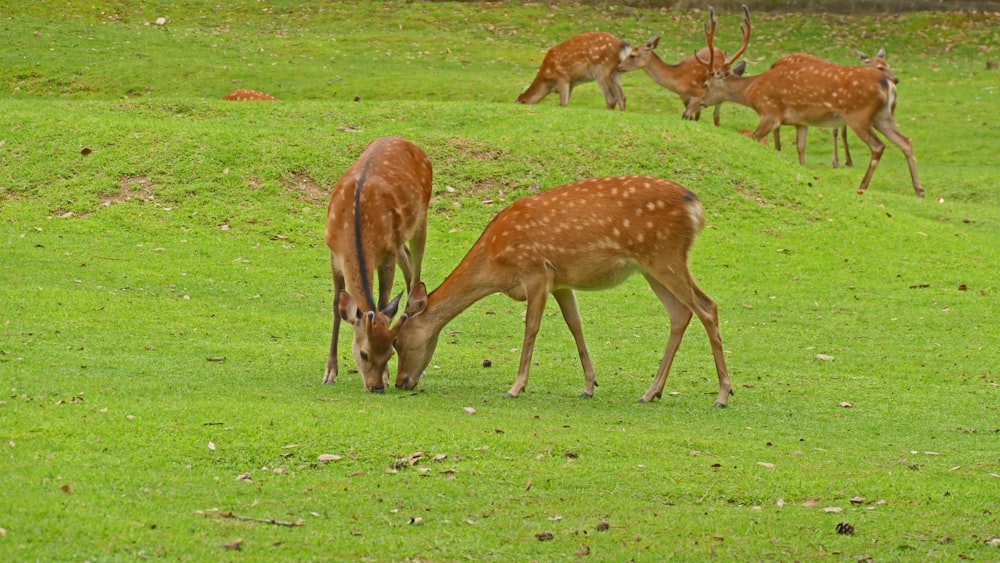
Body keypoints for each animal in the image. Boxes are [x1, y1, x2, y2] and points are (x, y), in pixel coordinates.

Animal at [320, 136, 430, 392]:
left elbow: (381, 302)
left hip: (422, 218)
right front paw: (330, 372)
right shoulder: (334, 255)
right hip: (399, 239)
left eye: (390, 352)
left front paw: (389, 375)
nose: (377, 387)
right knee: (407, 260)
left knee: (416, 275)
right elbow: (336, 307)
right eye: (364, 353)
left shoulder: (386, 255)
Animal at [392, 174, 736, 408]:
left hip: (665, 255)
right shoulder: (561, 282)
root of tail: (696, 207)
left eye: (395, 340)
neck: (496, 262)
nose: (400, 382)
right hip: (651, 266)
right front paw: (589, 385)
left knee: (708, 306)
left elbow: (531, 328)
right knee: (680, 313)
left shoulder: (536, 273)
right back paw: (652, 392)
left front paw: (516, 386)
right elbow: (575, 325)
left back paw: (723, 394)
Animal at [608, 37, 744, 125]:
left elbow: (686, 115)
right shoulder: (684, 97)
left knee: (718, 107)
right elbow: (689, 116)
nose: (618, 67)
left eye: (632, 55)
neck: (680, 81)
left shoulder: (699, 93)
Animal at [688, 6, 920, 198]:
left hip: (859, 115)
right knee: (906, 141)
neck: (753, 92)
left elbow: (754, 138)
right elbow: (801, 150)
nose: (699, 104)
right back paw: (919, 190)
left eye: (706, 84)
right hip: (884, 115)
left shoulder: (770, 113)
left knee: (878, 146)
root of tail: (887, 83)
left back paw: (863, 185)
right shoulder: (801, 122)